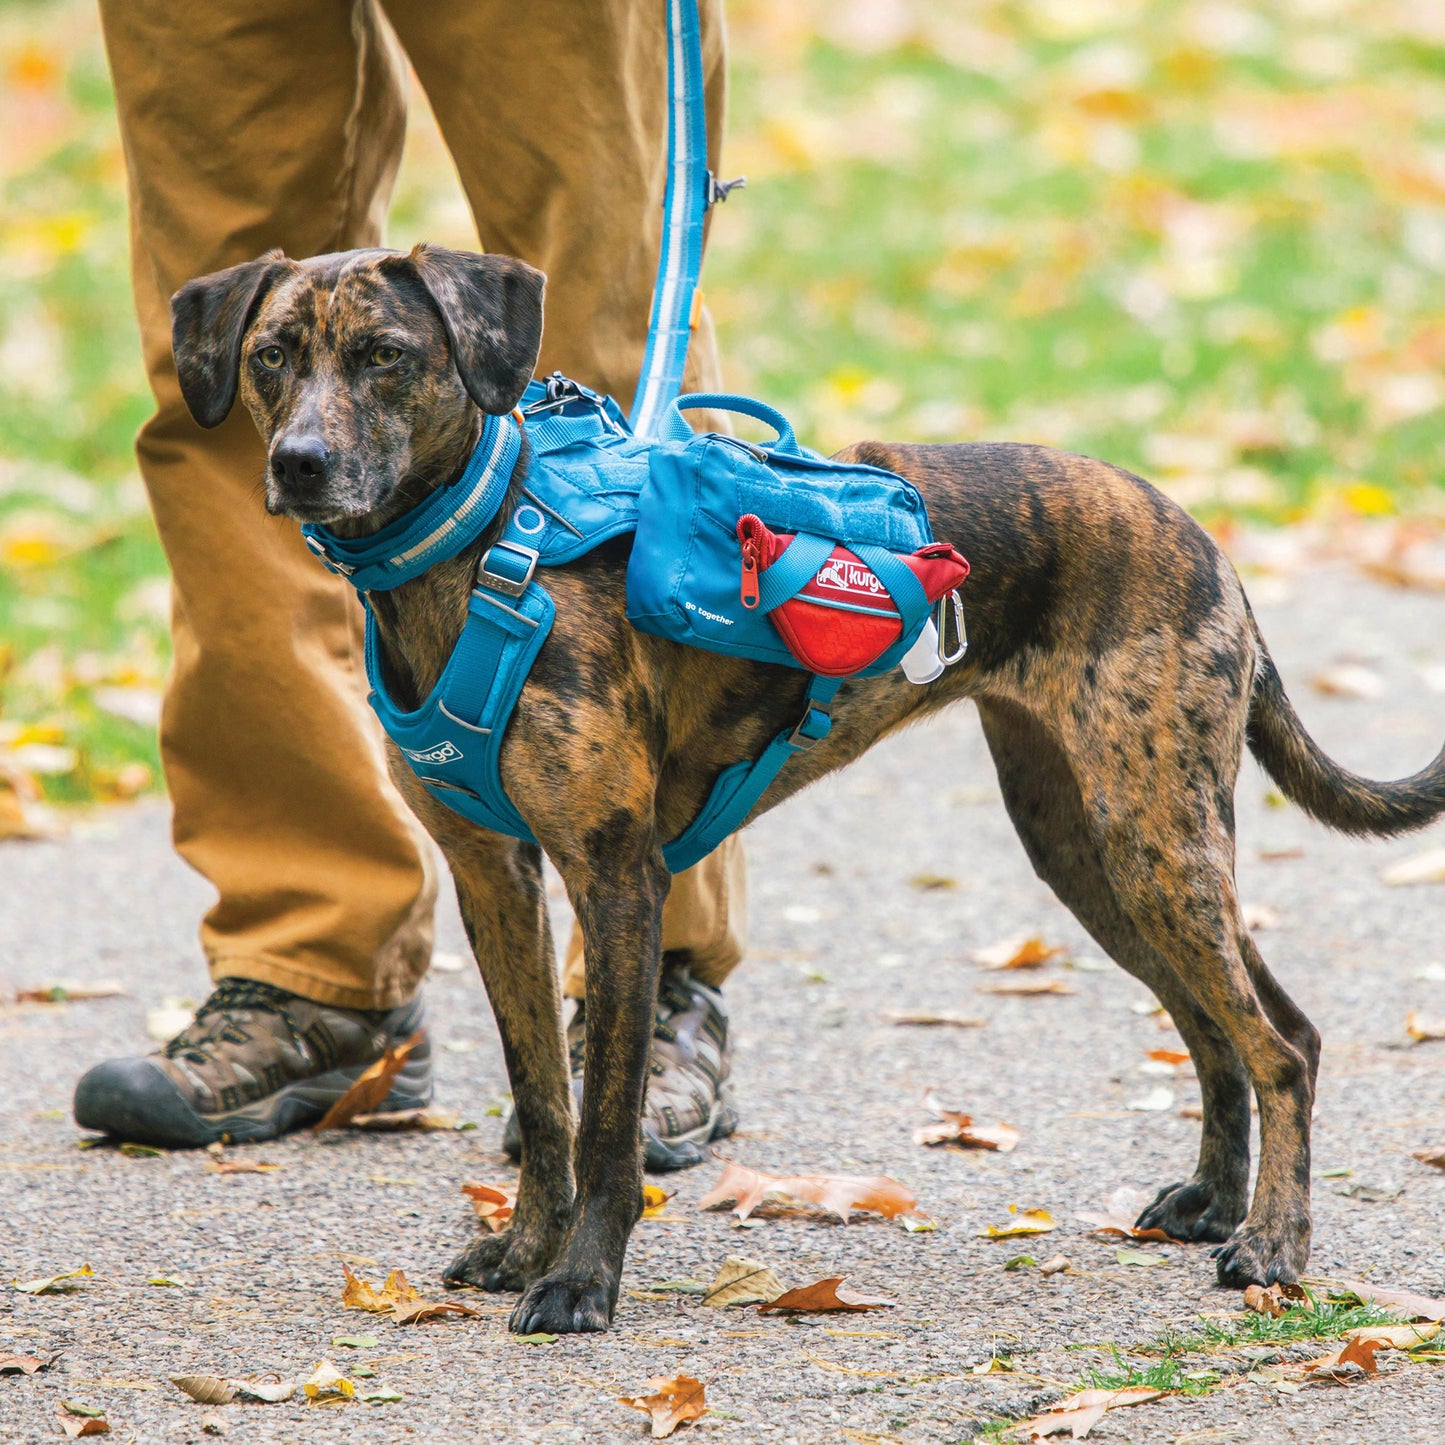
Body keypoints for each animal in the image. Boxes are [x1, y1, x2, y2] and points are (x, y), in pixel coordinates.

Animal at [171, 245, 1445, 1329]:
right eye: (271, 356)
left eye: (385, 353)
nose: (298, 465)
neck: (478, 545)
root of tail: (1202, 538)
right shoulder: (493, 878)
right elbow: (541, 1099)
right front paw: (523, 1250)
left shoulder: (615, 876)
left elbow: (607, 1119)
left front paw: (579, 1282)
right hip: (1088, 850)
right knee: (1220, 1026)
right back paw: (1212, 1202)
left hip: (1150, 837)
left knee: (1279, 1042)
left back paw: (1271, 1244)